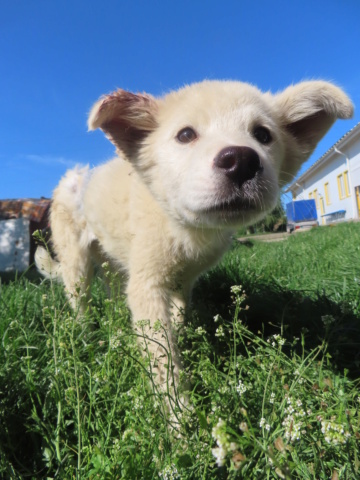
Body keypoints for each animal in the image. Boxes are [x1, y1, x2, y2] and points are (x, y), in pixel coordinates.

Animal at [35, 79, 352, 408]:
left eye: (263, 135)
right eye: (185, 135)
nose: (241, 161)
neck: (185, 227)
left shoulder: (183, 281)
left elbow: (177, 319)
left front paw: (183, 341)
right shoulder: (147, 285)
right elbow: (161, 357)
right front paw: (179, 413)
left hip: (113, 264)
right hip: (77, 264)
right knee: (80, 301)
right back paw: (86, 338)